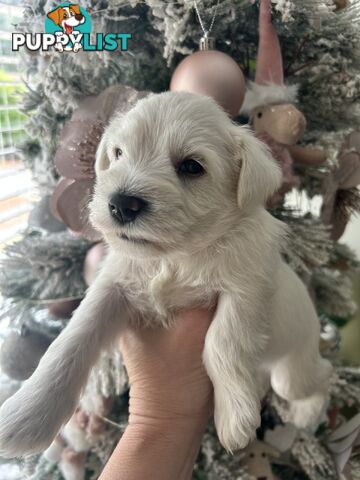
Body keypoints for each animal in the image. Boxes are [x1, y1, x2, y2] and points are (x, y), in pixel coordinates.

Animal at [0, 93, 334, 458]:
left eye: (191, 166)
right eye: (118, 153)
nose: (121, 204)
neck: (172, 257)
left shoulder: (247, 287)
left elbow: (223, 341)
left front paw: (234, 415)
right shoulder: (112, 286)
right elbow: (71, 339)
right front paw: (27, 414)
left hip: (292, 373)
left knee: (323, 378)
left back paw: (307, 414)